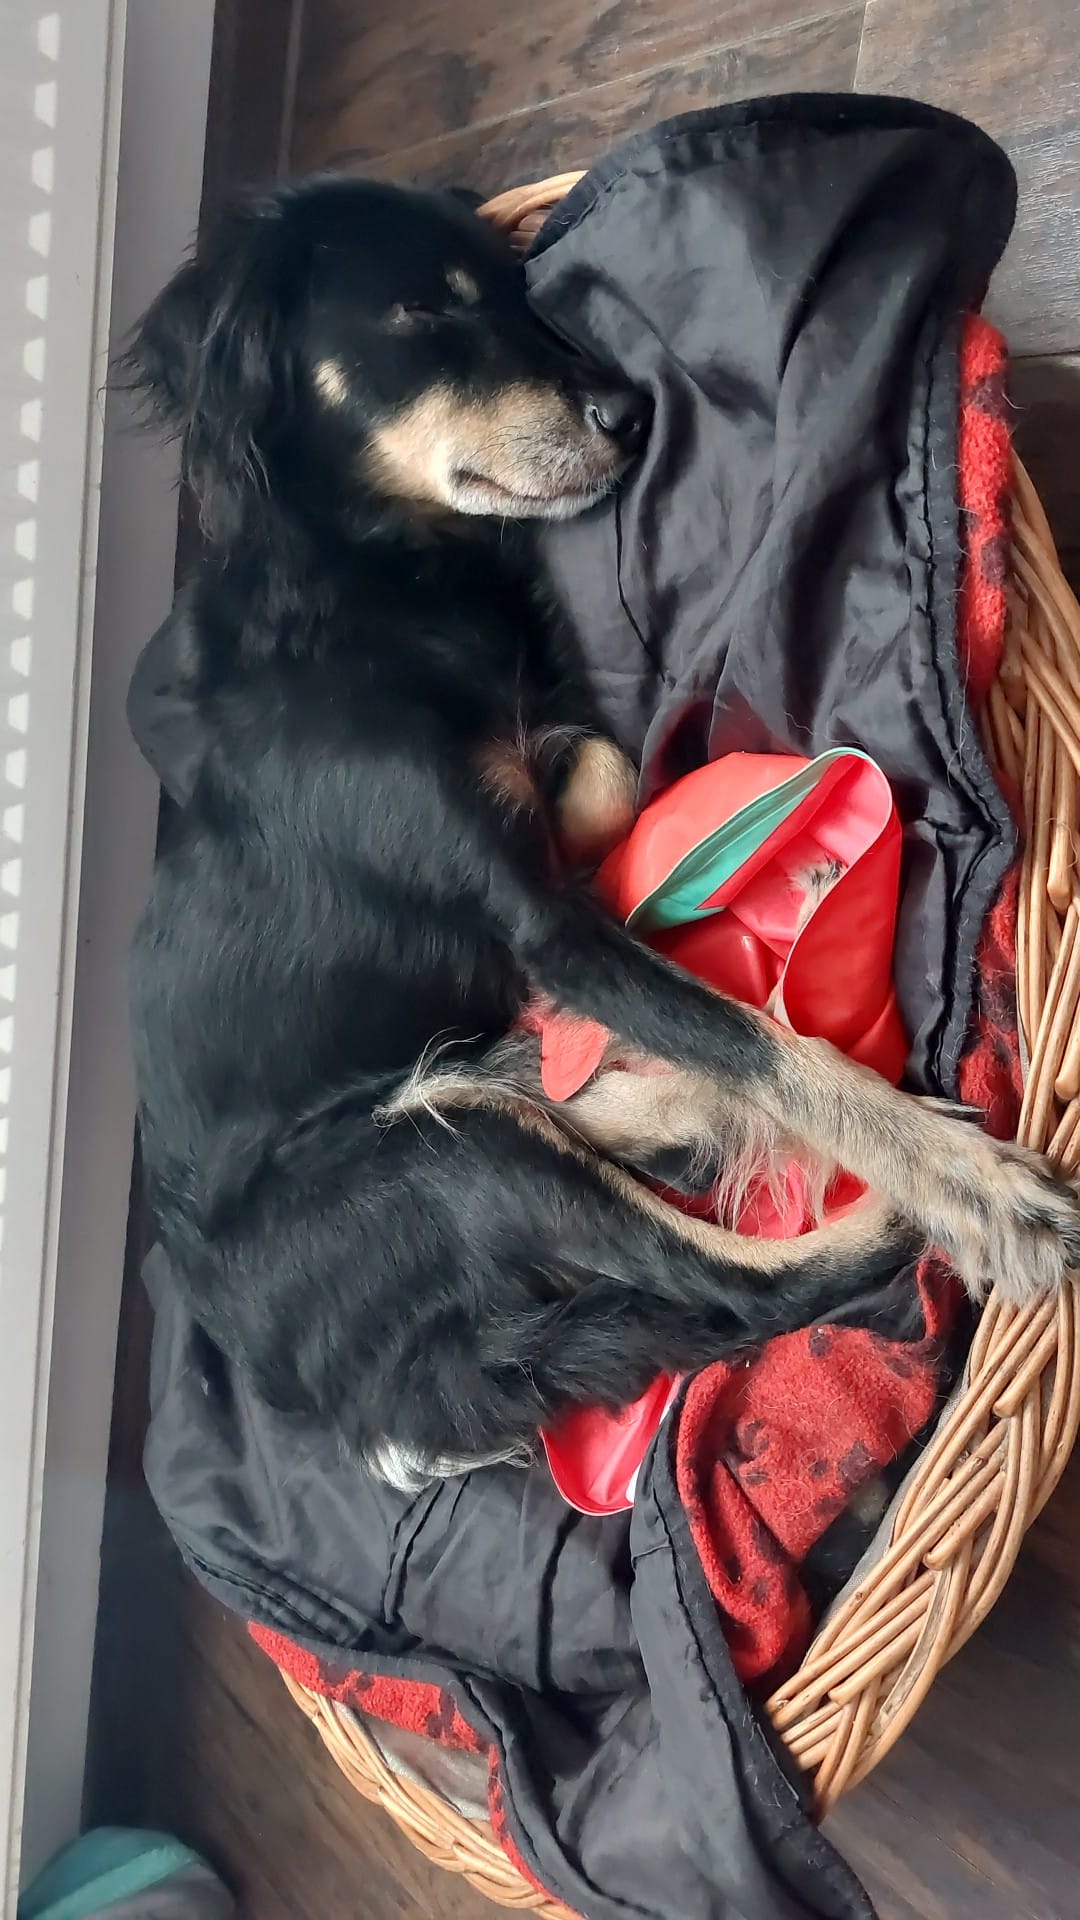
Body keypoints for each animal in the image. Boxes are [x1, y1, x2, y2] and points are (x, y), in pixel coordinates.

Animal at [125, 175, 1080, 1490]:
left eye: (517, 296)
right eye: (419, 310)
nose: (631, 413)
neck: (371, 592)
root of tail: (371, 1416)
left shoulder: (549, 828)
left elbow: (607, 774)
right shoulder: (541, 927)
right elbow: (769, 1050)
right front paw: (977, 1190)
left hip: (453, 1116)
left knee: (595, 1126)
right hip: (440, 1163)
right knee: (727, 1281)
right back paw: (911, 1196)